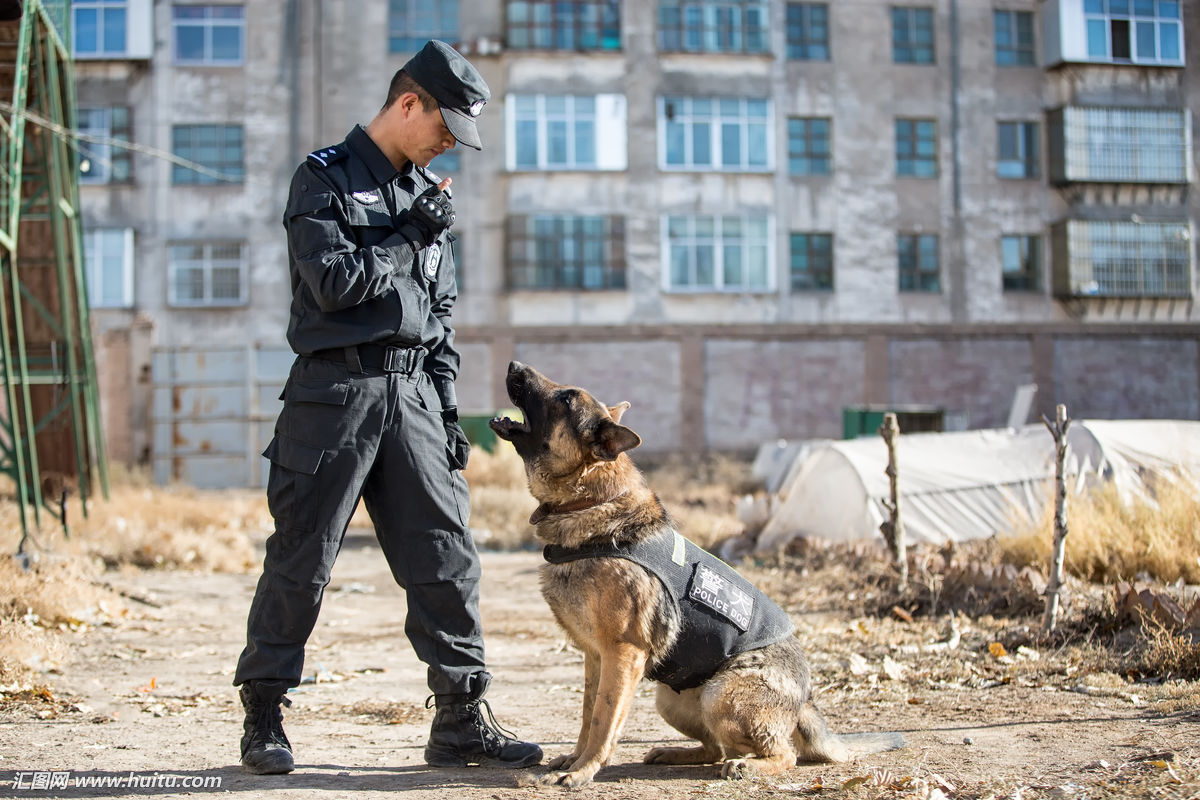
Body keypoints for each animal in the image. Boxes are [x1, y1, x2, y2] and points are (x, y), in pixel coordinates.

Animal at [487, 364, 902, 786]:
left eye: (567, 398)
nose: (515, 366)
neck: (592, 502)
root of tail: (806, 701)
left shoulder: (622, 654)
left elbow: (604, 721)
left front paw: (584, 769)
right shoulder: (596, 657)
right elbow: (588, 717)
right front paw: (574, 759)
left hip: (721, 694)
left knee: (781, 753)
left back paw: (748, 766)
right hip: (670, 699)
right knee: (714, 748)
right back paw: (675, 752)